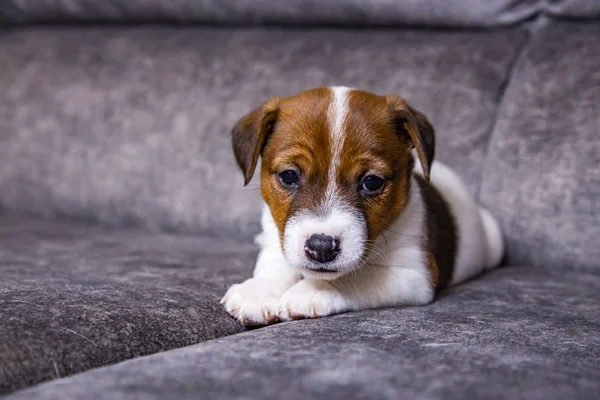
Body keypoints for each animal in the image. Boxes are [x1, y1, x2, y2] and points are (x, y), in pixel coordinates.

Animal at [220, 86, 502, 324]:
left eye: (372, 182)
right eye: (289, 176)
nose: (321, 247)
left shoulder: (416, 274)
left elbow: (358, 276)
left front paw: (313, 290)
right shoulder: (278, 236)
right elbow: (276, 262)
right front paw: (259, 290)